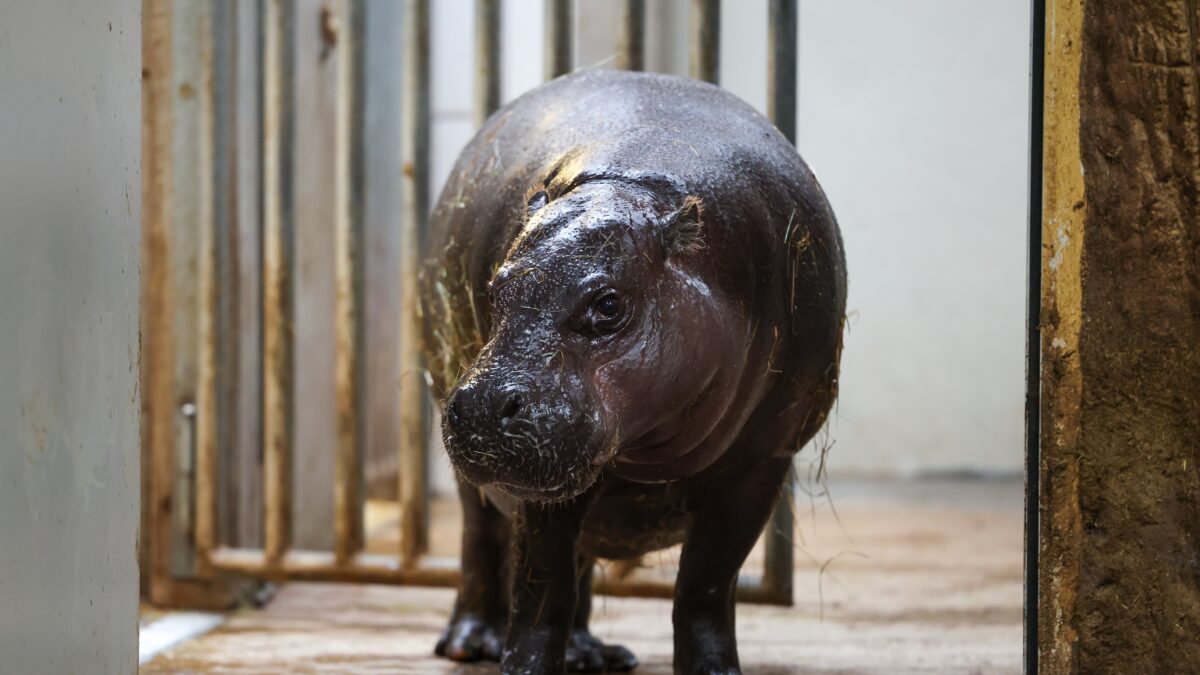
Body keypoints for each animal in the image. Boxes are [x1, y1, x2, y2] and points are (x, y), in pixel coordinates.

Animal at [419, 70, 846, 674]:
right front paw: (523, 666)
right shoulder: (541, 484)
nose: (481, 404)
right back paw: (469, 643)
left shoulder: (759, 464)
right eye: (497, 283)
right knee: (481, 537)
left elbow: (705, 587)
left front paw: (714, 670)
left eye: (608, 304)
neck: (635, 182)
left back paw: (591, 655)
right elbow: (541, 589)